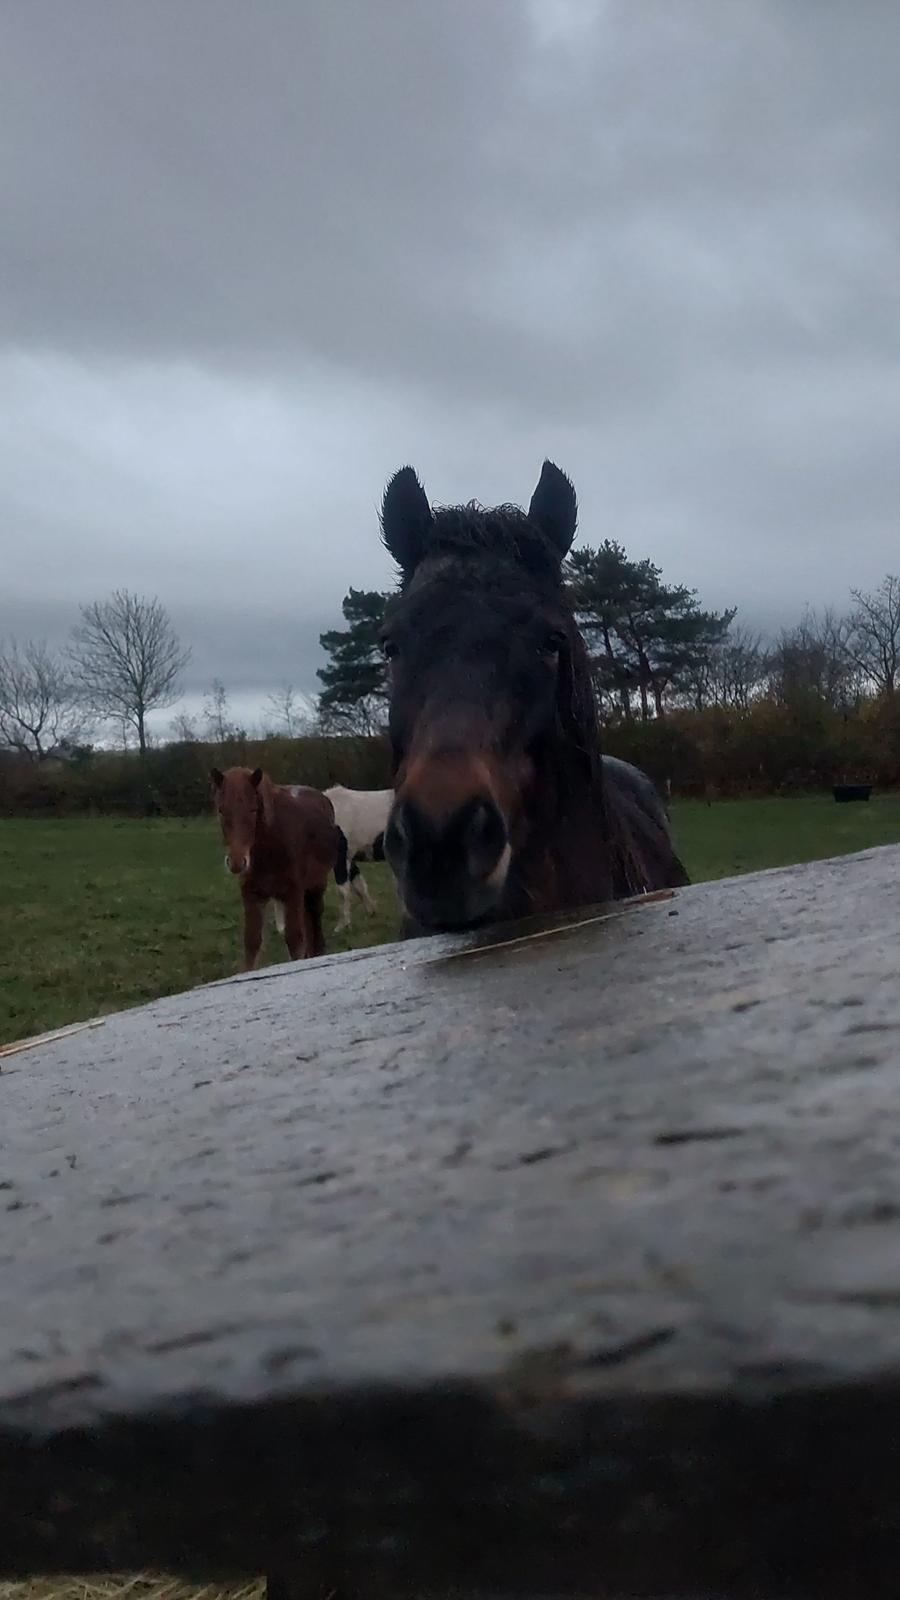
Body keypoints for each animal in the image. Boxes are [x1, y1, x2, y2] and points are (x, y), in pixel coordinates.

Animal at [209, 768, 339, 966]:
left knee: (315, 928)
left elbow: (294, 940)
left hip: (315, 888)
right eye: (221, 810)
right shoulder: (252, 895)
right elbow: (252, 942)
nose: (237, 862)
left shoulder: (292, 893)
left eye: (253, 809)